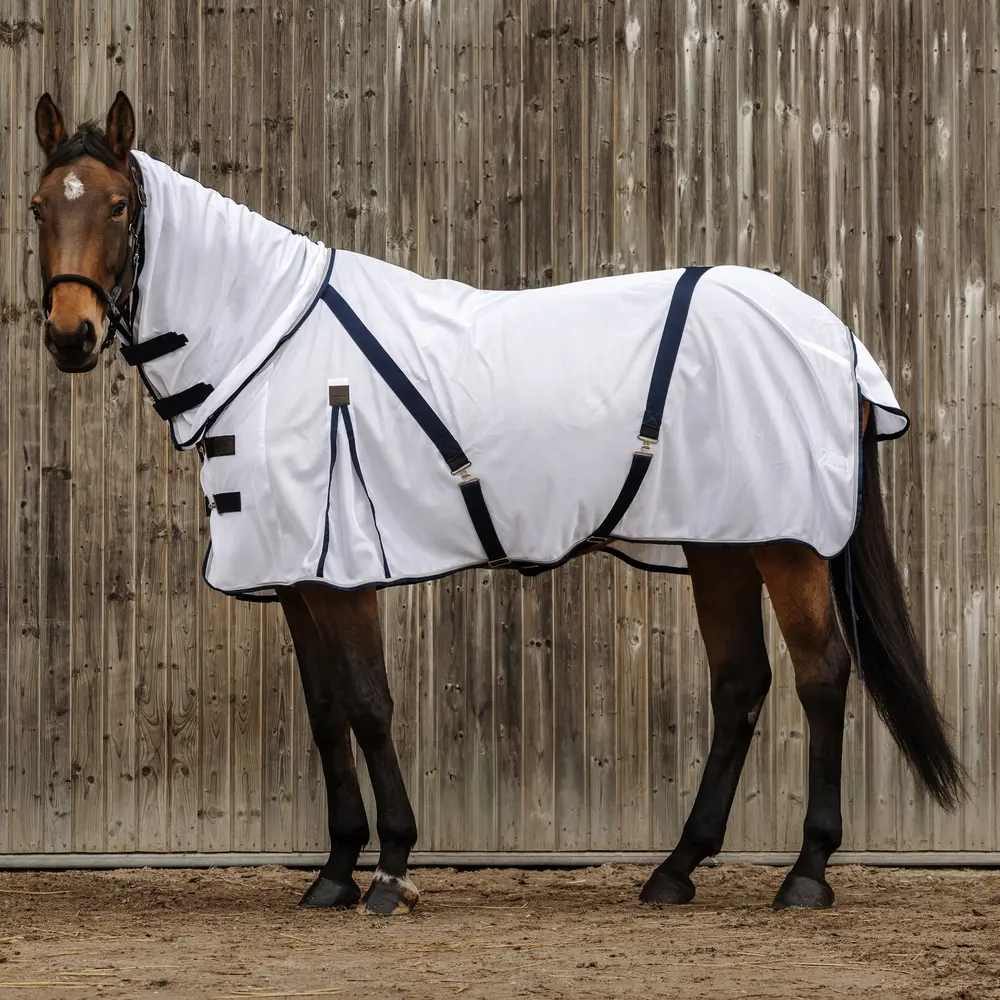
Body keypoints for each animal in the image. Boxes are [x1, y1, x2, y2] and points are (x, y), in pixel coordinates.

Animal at [30, 90, 964, 917]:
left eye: (118, 205)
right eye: (39, 206)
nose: (70, 336)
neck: (273, 344)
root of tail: (832, 335)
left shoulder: (343, 572)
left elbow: (368, 704)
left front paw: (390, 871)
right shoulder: (297, 575)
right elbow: (327, 712)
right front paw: (332, 873)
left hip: (788, 544)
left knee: (821, 675)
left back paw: (805, 875)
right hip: (720, 541)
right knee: (740, 683)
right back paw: (675, 870)